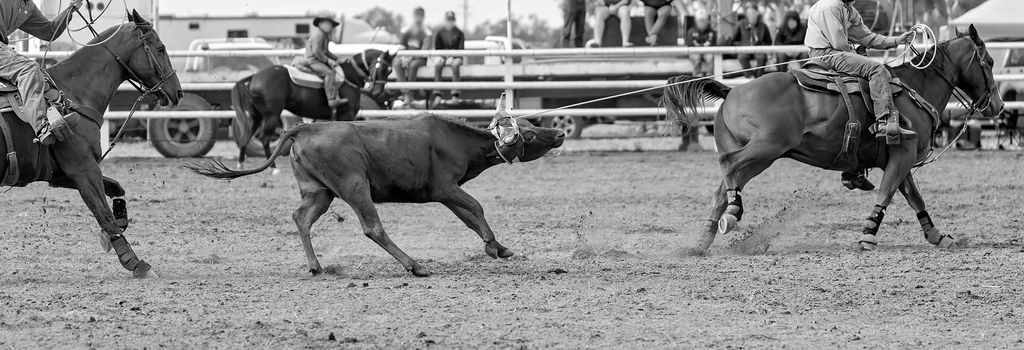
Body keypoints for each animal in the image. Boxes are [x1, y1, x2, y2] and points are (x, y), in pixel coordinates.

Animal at [0, 10, 182, 278]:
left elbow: (116, 188)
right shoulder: (83, 169)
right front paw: (135, 262)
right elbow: (103, 213)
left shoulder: (62, 174)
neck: (72, 94)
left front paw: (120, 221)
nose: (178, 92)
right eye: (160, 49)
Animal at [233, 48, 395, 166]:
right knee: (264, 138)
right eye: (381, 67)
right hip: (271, 116)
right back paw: (273, 168)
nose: (378, 92)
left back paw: (241, 165)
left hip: (256, 116)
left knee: (245, 136)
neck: (348, 76)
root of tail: (254, 76)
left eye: (390, 71)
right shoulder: (346, 114)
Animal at [659, 25, 1003, 252]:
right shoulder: (902, 154)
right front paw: (867, 234)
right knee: (728, 165)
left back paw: (704, 239)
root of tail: (732, 91)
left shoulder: (898, 158)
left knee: (723, 186)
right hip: (765, 149)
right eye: (988, 62)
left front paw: (937, 236)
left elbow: (914, 197)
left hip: (757, 155)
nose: (997, 105)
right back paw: (734, 213)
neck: (913, 87)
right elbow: (888, 192)